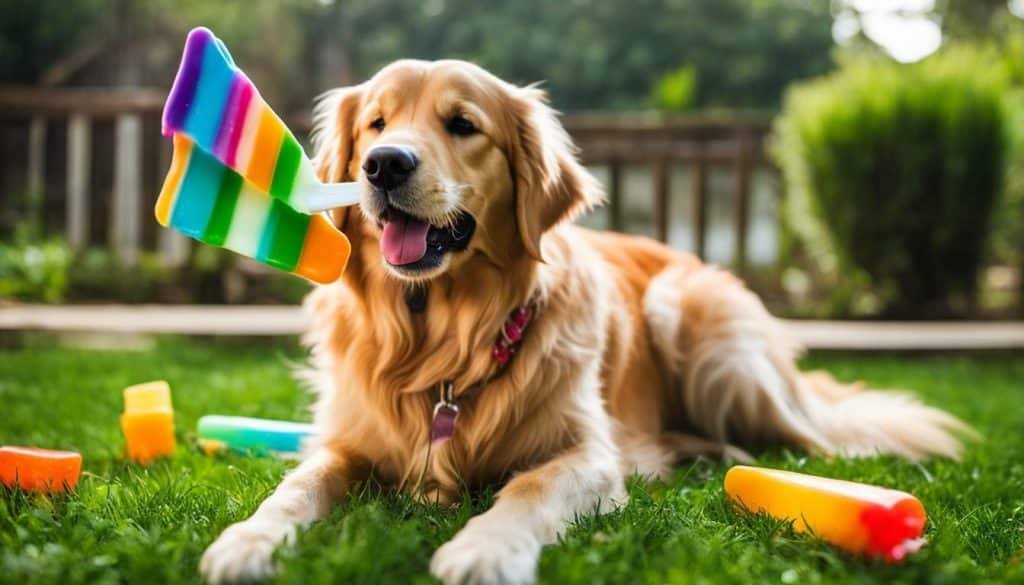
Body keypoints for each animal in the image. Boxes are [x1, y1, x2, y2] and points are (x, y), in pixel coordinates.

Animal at [197, 60, 966, 585]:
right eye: (376, 125)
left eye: (462, 125)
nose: (385, 165)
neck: (445, 340)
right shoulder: (347, 442)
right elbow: (296, 486)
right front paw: (245, 541)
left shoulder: (586, 453)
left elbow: (526, 489)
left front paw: (482, 550)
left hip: (695, 315)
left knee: (809, 433)